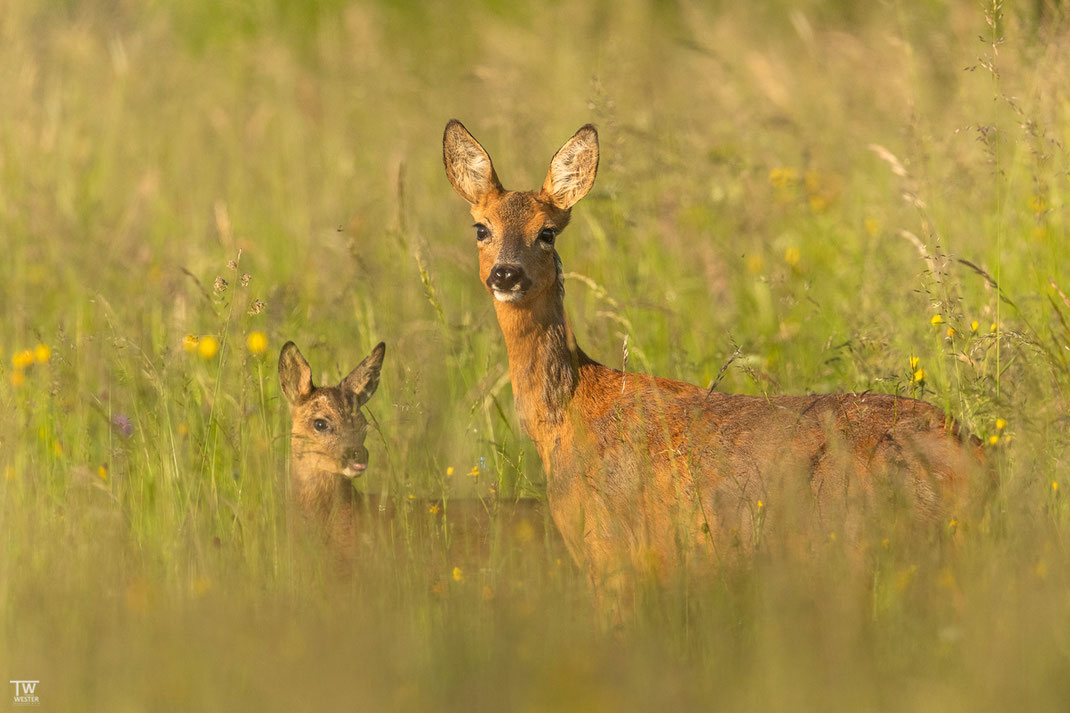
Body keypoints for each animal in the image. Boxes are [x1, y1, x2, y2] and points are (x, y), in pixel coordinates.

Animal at [438, 119, 980, 603]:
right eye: (481, 228)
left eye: (548, 232)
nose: (506, 274)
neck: (566, 417)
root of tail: (975, 457)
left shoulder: (612, 556)